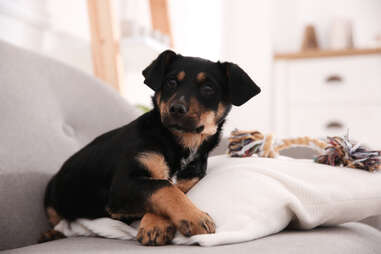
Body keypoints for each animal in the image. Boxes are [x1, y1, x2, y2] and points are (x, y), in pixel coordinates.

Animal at [41, 48, 260, 245]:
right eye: (171, 83)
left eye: (208, 89)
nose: (176, 109)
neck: (179, 143)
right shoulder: (122, 186)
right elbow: (162, 186)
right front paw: (195, 217)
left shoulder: (187, 182)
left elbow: (169, 188)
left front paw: (156, 225)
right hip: (53, 195)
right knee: (56, 219)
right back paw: (50, 234)